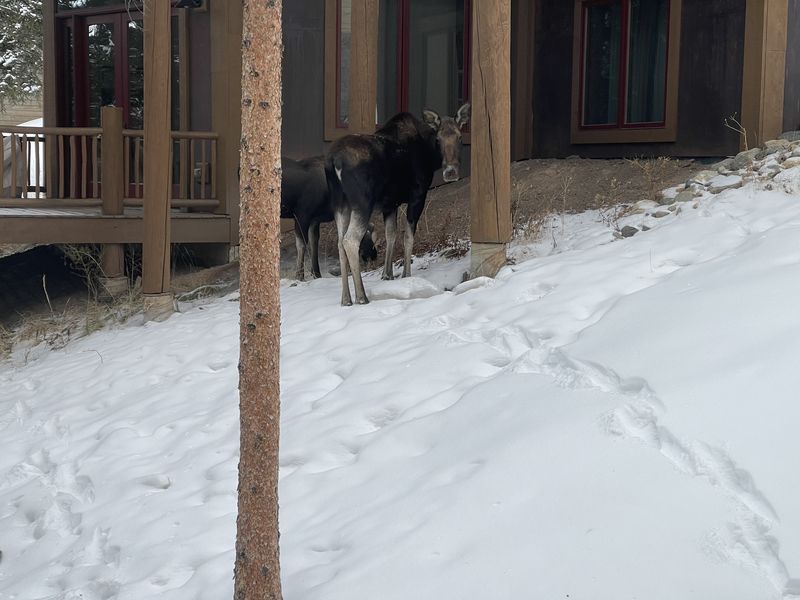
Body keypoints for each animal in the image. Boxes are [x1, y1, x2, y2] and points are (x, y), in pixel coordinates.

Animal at [325, 103, 470, 305]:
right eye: (438, 139)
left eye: (459, 136)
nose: (450, 172)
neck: (430, 157)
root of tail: (333, 162)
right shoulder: (417, 195)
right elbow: (408, 236)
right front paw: (406, 275)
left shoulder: (389, 204)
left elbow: (391, 234)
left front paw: (388, 275)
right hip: (362, 202)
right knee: (350, 240)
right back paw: (361, 296)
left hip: (340, 204)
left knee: (340, 242)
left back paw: (345, 298)